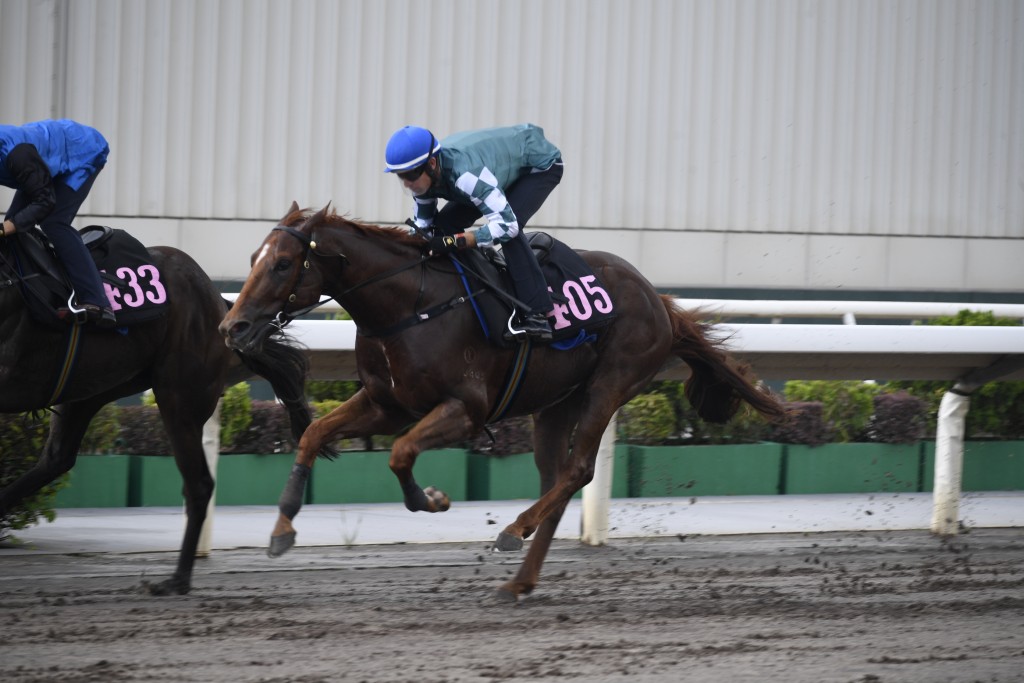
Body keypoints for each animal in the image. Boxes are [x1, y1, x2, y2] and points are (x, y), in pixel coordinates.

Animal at [1, 237, 315, 593]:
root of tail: (219, 301)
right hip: (89, 390)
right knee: (56, 459)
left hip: (178, 398)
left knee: (199, 484)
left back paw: (177, 580)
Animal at [220, 202, 786, 598]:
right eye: (252, 260)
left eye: (284, 264)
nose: (233, 327)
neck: (409, 304)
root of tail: (659, 300)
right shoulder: (387, 403)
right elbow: (314, 434)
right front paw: (281, 530)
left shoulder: (465, 411)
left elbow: (401, 453)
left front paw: (432, 499)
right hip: (556, 404)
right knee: (556, 479)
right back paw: (519, 581)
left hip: (610, 384)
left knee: (578, 470)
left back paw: (514, 529)